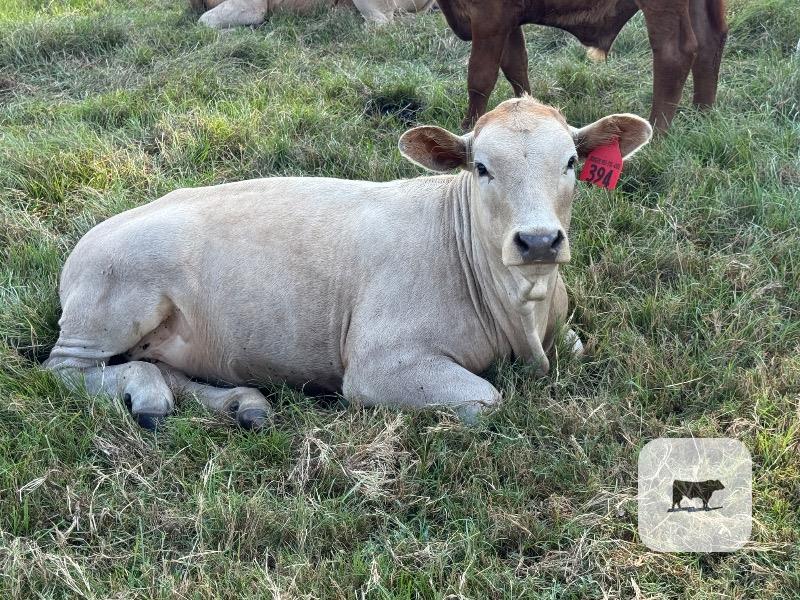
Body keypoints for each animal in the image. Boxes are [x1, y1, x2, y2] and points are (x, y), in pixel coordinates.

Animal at [44, 97, 652, 430]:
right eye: (480, 167)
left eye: (570, 161)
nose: (539, 240)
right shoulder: (380, 364)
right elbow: (488, 400)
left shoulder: (563, 335)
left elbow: (578, 347)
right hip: (109, 308)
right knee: (68, 371)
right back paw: (149, 394)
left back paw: (241, 404)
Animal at [436, 0, 728, 131]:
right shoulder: (509, 19)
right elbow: (516, 65)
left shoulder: (489, 17)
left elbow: (480, 76)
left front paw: (468, 127)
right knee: (710, 41)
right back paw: (703, 114)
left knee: (674, 53)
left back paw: (656, 133)